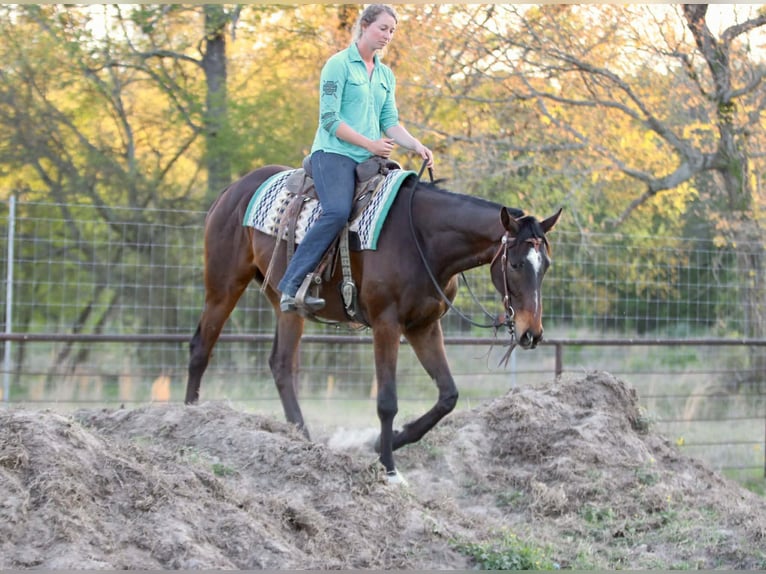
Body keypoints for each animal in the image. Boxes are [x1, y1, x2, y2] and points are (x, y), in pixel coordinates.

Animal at [186, 163, 562, 482]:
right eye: (514, 264)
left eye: (545, 265)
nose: (531, 333)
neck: (422, 240)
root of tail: (233, 190)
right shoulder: (386, 324)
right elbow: (387, 402)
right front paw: (389, 467)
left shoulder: (424, 326)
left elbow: (448, 395)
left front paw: (387, 442)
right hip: (224, 286)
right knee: (202, 347)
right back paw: (189, 419)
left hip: (284, 305)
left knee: (281, 365)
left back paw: (303, 438)